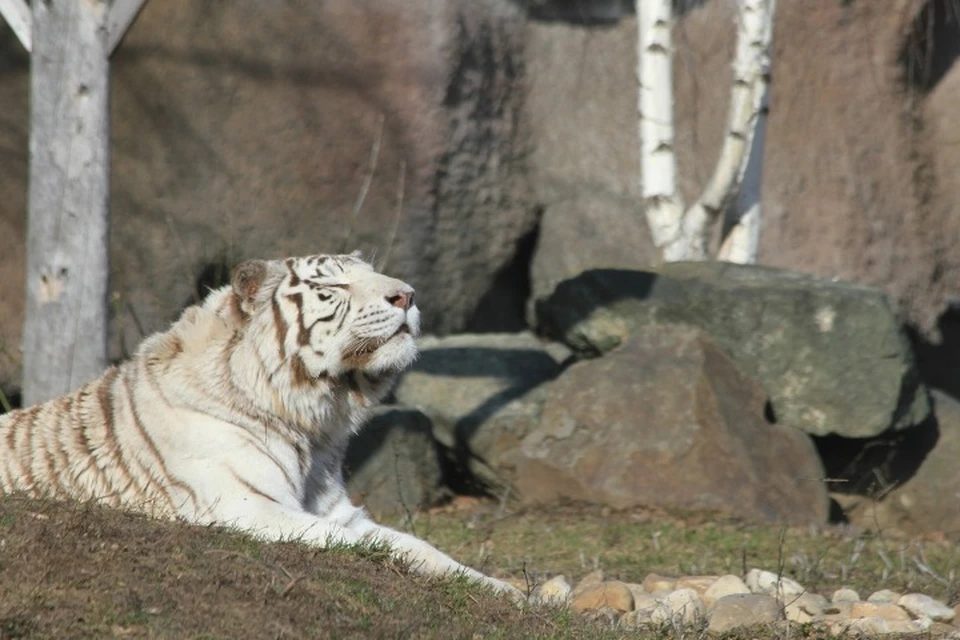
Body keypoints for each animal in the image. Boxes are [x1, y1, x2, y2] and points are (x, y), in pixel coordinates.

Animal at [0, 254, 520, 600]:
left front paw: (515, 591)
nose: (407, 295)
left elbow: (421, 547)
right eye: (337, 286)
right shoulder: (247, 506)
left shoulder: (339, 510)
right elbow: (364, 547)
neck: (314, 423)